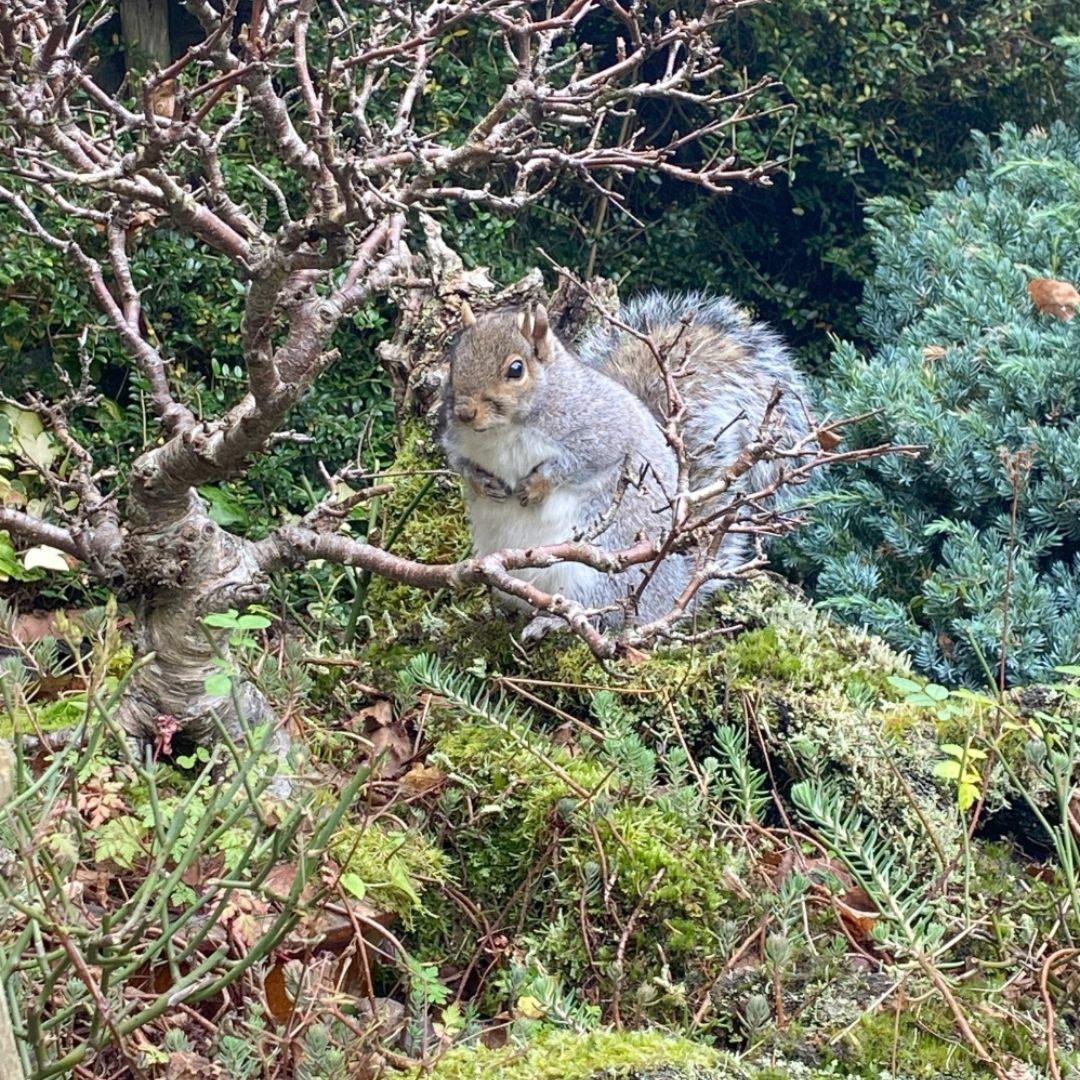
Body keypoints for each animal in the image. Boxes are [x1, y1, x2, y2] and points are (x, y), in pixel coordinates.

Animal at [439, 291, 810, 638]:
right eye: (454, 361)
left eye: (515, 369)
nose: (464, 412)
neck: (503, 430)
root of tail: (671, 590)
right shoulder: (456, 442)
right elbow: (460, 463)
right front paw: (482, 482)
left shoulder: (600, 432)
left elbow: (582, 464)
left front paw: (536, 484)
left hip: (600, 568)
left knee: (603, 614)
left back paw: (553, 622)